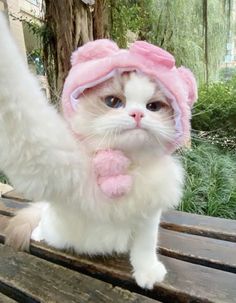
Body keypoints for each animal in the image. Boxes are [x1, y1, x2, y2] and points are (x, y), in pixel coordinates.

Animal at [0, 13, 196, 290]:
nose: (137, 114)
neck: (125, 166)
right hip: (54, 224)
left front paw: (147, 272)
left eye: (154, 107)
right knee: (43, 219)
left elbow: (145, 247)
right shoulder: (46, 158)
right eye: (114, 102)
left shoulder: (148, 216)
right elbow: (14, 96)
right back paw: (38, 233)